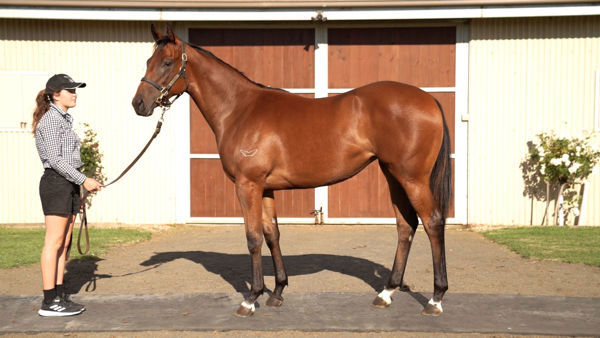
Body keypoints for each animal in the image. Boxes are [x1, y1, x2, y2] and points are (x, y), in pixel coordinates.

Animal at [131, 25, 450, 318]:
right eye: (148, 60)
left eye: (167, 63)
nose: (138, 104)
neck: (239, 110)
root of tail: (429, 100)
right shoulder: (266, 188)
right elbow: (272, 234)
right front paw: (277, 292)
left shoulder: (247, 185)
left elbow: (253, 238)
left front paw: (251, 298)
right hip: (393, 175)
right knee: (406, 226)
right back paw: (386, 292)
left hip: (412, 178)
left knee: (432, 223)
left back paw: (435, 298)